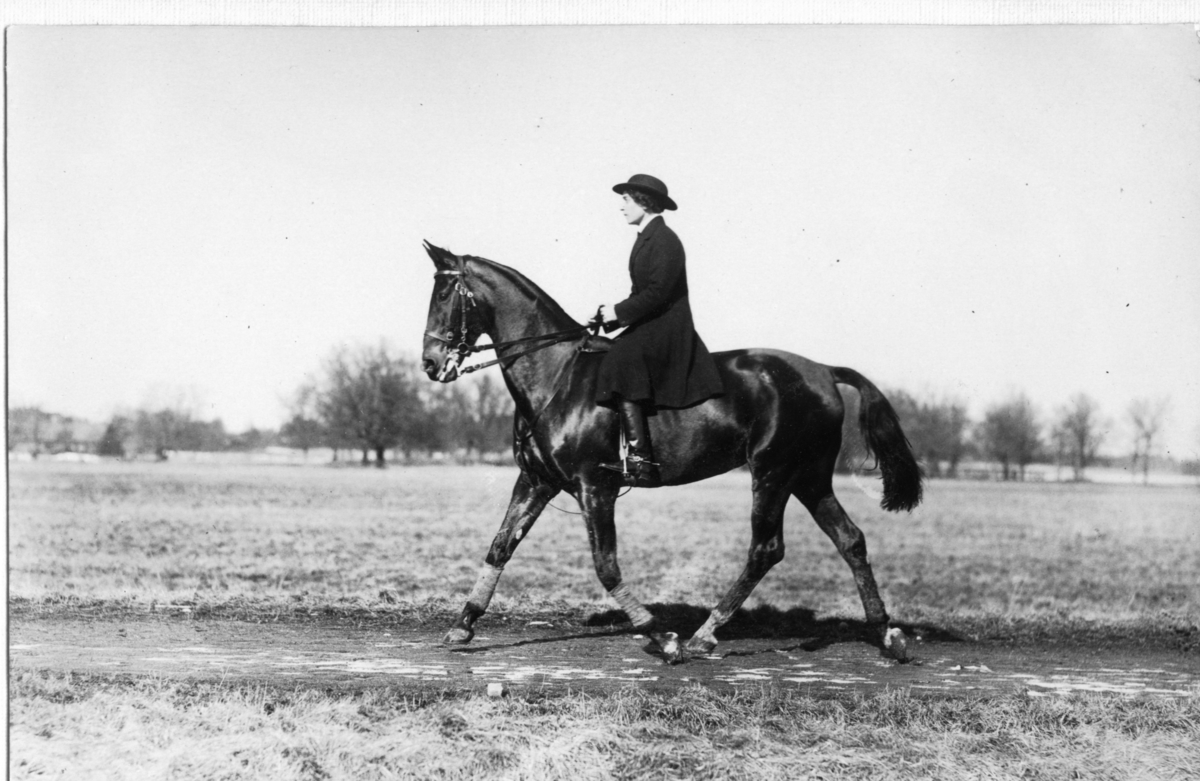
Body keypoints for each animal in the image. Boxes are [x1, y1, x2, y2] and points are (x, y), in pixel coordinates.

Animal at [417, 241, 921, 662]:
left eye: (444, 294)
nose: (430, 363)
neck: (557, 376)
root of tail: (822, 370)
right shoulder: (537, 482)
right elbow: (500, 547)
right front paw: (463, 626)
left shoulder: (594, 487)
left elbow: (606, 566)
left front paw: (661, 637)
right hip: (808, 478)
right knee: (850, 540)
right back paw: (887, 634)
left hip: (773, 474)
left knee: (766, 549)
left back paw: (705, 634)